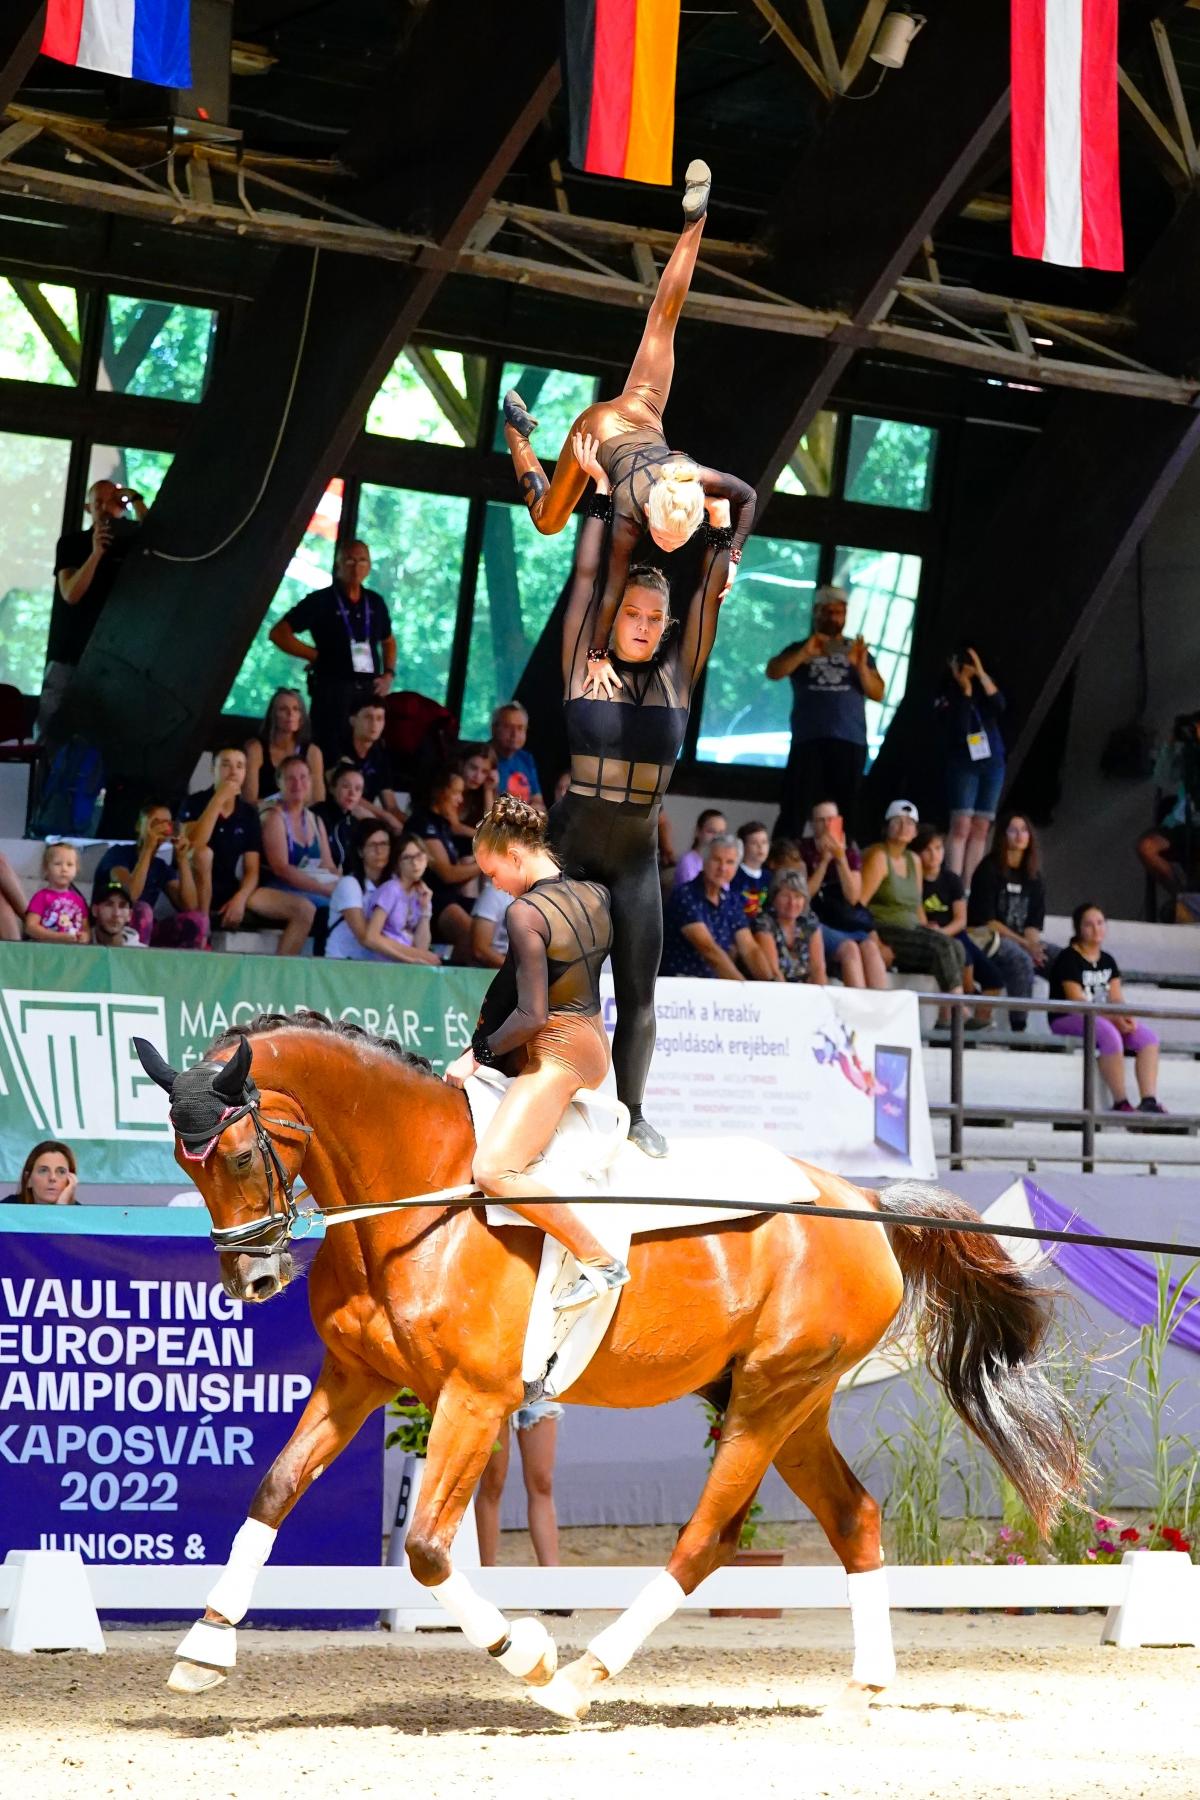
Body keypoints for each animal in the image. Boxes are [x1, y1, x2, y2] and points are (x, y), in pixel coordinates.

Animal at [135, 1015, 1086, 1713]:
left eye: (239, 1154)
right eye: (183, 1159)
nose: (255, 1277)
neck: (419, 1198)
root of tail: (861, 1199)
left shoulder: (476, 1399)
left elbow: (430, 1550)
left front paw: (525, 1652)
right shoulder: (355, 1378)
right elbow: (275, 1489)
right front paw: (204, 1647)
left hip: (770, 1397)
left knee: (708, 1540)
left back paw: (579, 1679)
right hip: (790, 1400)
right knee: (853, 1517)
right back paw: (869, 1684)